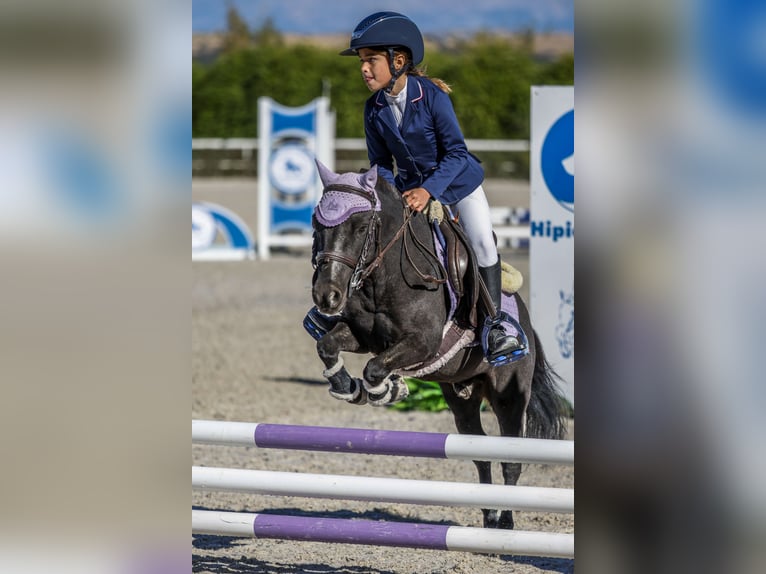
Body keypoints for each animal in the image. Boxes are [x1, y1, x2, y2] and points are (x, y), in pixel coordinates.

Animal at [306, 162, 568, 532]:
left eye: (360, 227)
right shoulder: (362, 336)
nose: (326, 296)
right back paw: (489, 515)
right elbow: (329, 346)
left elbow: (375, 367)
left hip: (509, 396)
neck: (384, 277)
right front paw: (349, 387)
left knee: (510, 458)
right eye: (317, 223)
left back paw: (505, 523)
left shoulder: (422, 343)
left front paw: (388, 390)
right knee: (479, 452)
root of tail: (525, 319)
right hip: (462, 399)